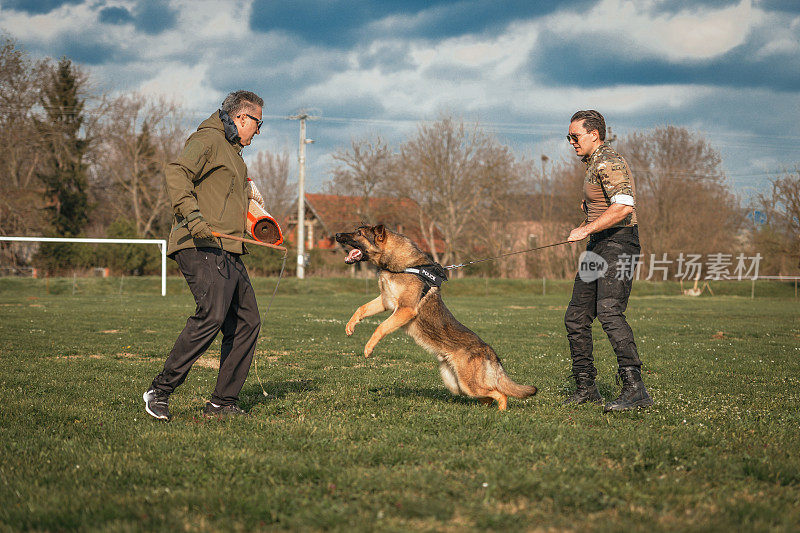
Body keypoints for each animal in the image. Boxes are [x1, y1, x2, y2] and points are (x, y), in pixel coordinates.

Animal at [334, 222, 536, 410]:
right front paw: (350, 326)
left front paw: (369, 348)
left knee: (501, 394)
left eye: (359, 233)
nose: (336, 235)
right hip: (458, 385)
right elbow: (361, 309)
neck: (402, 265)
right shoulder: (386, 301)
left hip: (469, 385)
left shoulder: (405, 309)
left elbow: (381, 327)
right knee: (488, 396)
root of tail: (491, 353)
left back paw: (501, 412)